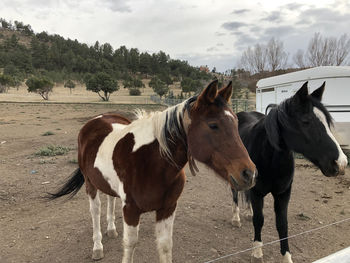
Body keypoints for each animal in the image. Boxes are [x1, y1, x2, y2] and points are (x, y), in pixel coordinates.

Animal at [49, 80, 256, 263]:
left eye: (236, 122)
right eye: (213, 125)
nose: (249, 173)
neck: (149, 163)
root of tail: (96, 120)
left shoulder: (168, 208)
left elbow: (165, 246)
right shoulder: (131, 211)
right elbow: (130, 246)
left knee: (110, 199)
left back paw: (111, 229)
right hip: (90, 184)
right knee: (95, 210)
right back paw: (98, 246)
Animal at [231, 81, 348, 262]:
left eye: (328, 122)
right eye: (306, 121)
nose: (341, 163)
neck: (270, 159)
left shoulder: (283, 194)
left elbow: (282, 225)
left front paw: (286, 256)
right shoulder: (258, 193)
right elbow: (259, 220)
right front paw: (257, 252)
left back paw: (247, 212)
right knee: (235, 193)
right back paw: (236, 218)